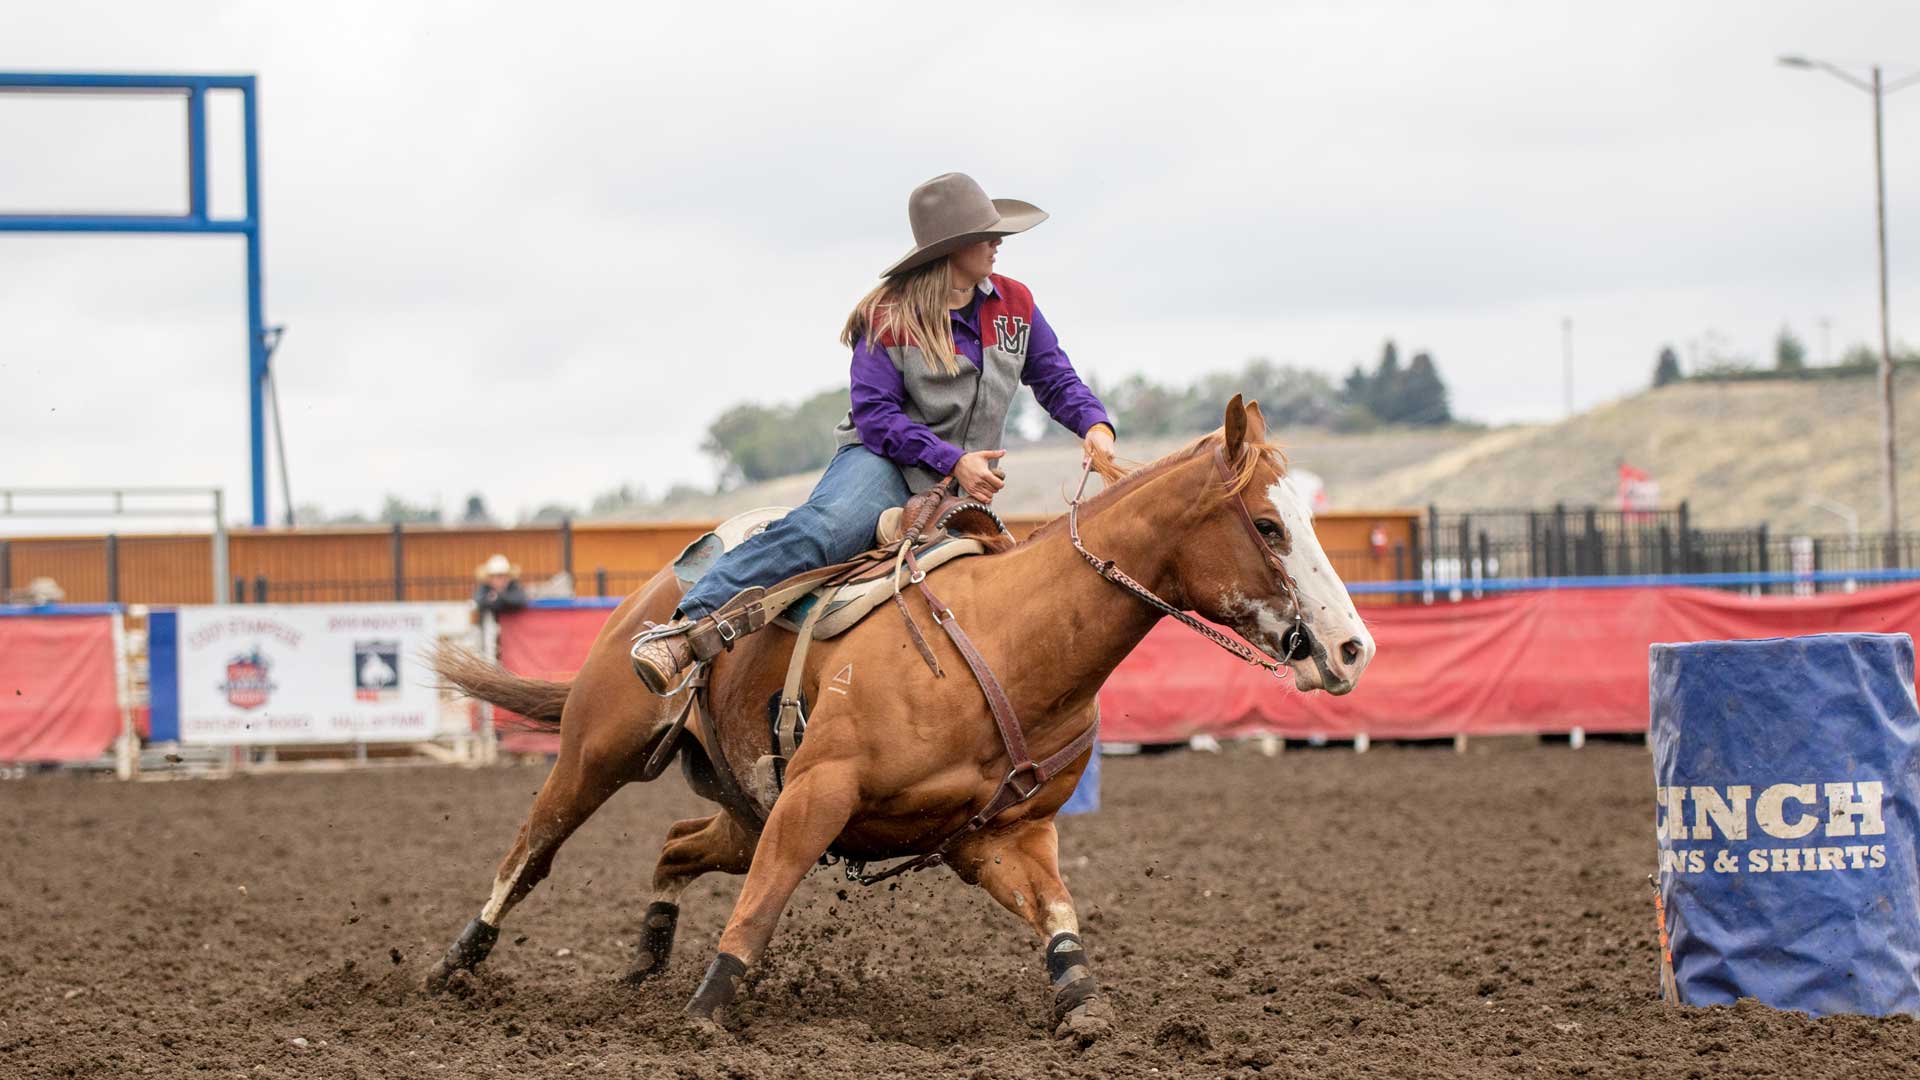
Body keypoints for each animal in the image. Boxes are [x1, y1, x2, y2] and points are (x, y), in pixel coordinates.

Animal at [428, 395, 1374, 1037]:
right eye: (1268, 525)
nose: (1353, 647)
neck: (1009, 636)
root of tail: (658, 588)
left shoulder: (996, 835)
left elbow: (1059, 913)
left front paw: (1083, 1005)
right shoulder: (818, 793)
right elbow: (764, 903)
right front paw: (707, 1012)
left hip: (745, 802)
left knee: (676, 844)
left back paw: (648, 952)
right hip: (600, 753)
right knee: (533, 850)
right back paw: (454, 965)